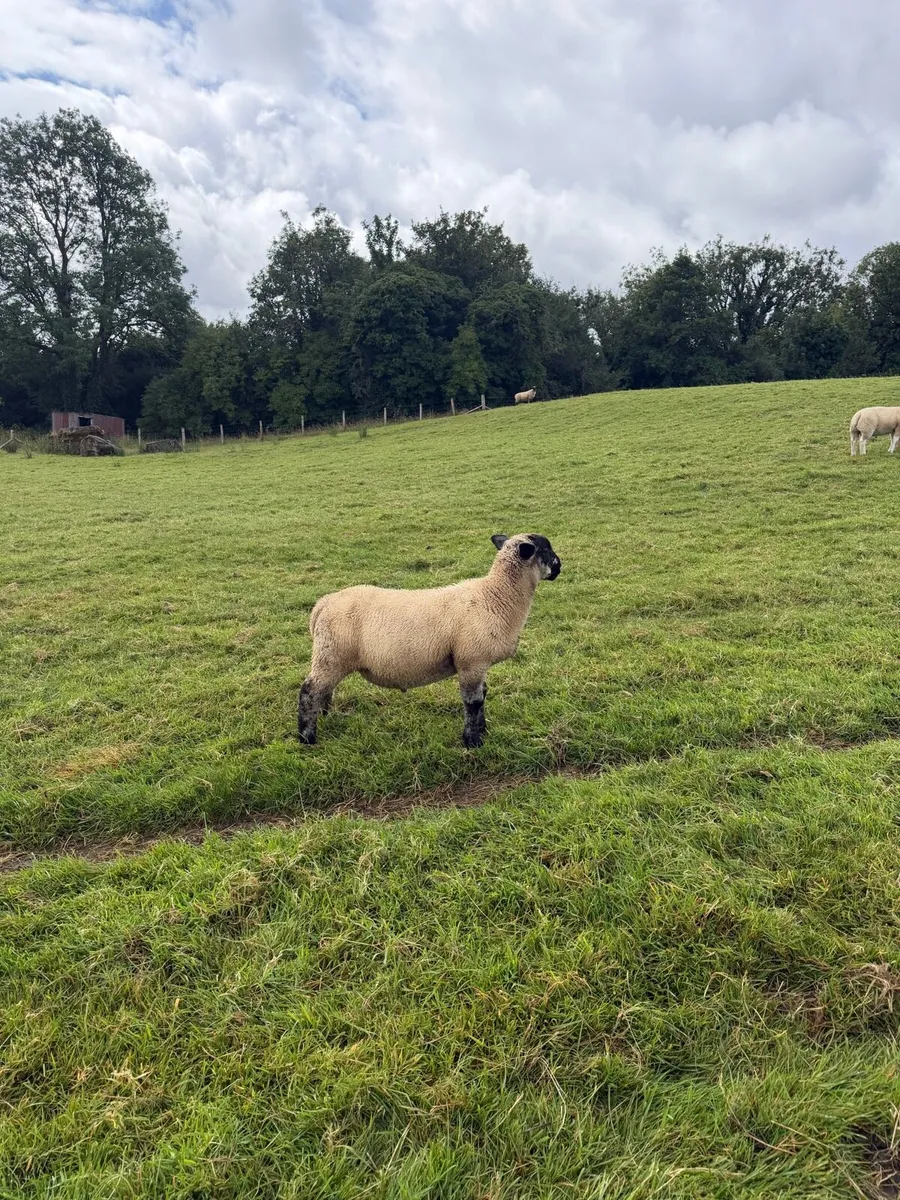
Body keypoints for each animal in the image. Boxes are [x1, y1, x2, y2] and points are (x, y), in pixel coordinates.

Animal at [298, 533, 561, 749]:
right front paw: (473, 742)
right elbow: (473, 702)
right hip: (330, 655)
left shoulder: (478, 663)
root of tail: (323, 604)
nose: (560, 566)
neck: (494, 597)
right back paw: (306, 737)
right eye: (546, 550)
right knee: (309, 692)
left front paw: (483, 730)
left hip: (331, 657)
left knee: (323, 690)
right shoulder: (471, 661)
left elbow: (483, 695)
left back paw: (324, 716)